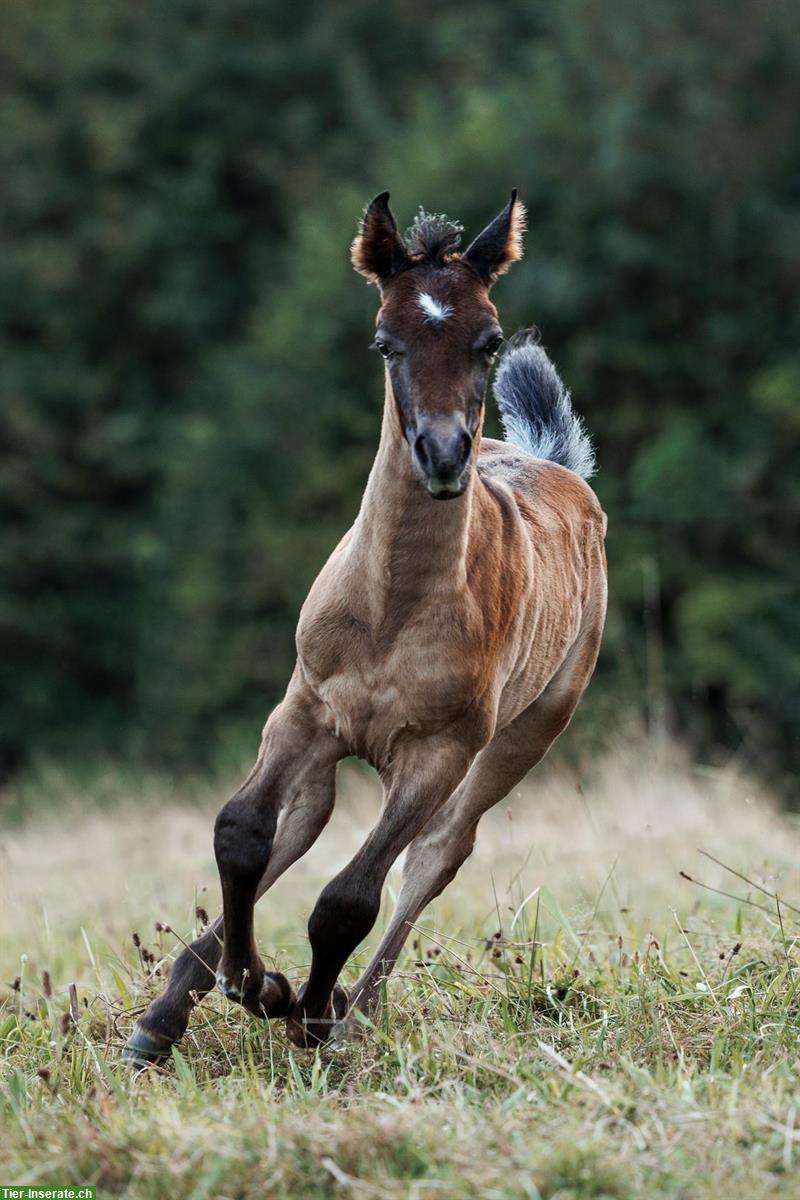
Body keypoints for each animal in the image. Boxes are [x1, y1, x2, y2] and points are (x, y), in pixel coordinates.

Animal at [125, 192, 609, 1065]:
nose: (442, 454)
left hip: (524, 735)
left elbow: (349, 897)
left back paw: (355, 1011)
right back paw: (181, 1007)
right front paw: (247, 989)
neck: (394, 608)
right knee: (300, 828)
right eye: (386, 341)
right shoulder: (302, 709)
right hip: (334, 745)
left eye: (489, 339)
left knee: (435, 857)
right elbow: (241, 833)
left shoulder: (438, 751)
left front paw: (308, 1010)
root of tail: (562, 470)